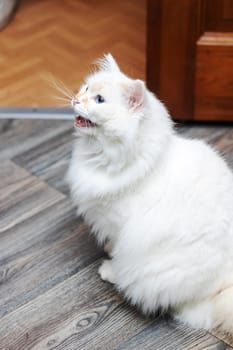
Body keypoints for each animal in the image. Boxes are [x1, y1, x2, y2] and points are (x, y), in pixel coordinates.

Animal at [67, 53, 233, 332]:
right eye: (86, 88)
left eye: (100, 100)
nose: (76, 99)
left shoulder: (120, 224)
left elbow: (118, 248)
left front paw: (110, 263)